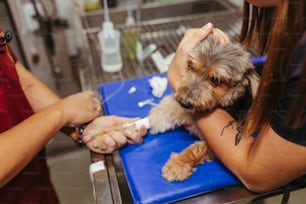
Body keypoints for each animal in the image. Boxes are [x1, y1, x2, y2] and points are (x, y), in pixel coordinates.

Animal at [147, 32, 260, 182]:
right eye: (190, 66)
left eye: (216, 80)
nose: (184, 102)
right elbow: (172, 109)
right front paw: (154, 119)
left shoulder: (217, 144)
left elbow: (197, 148)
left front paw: (177, 164)